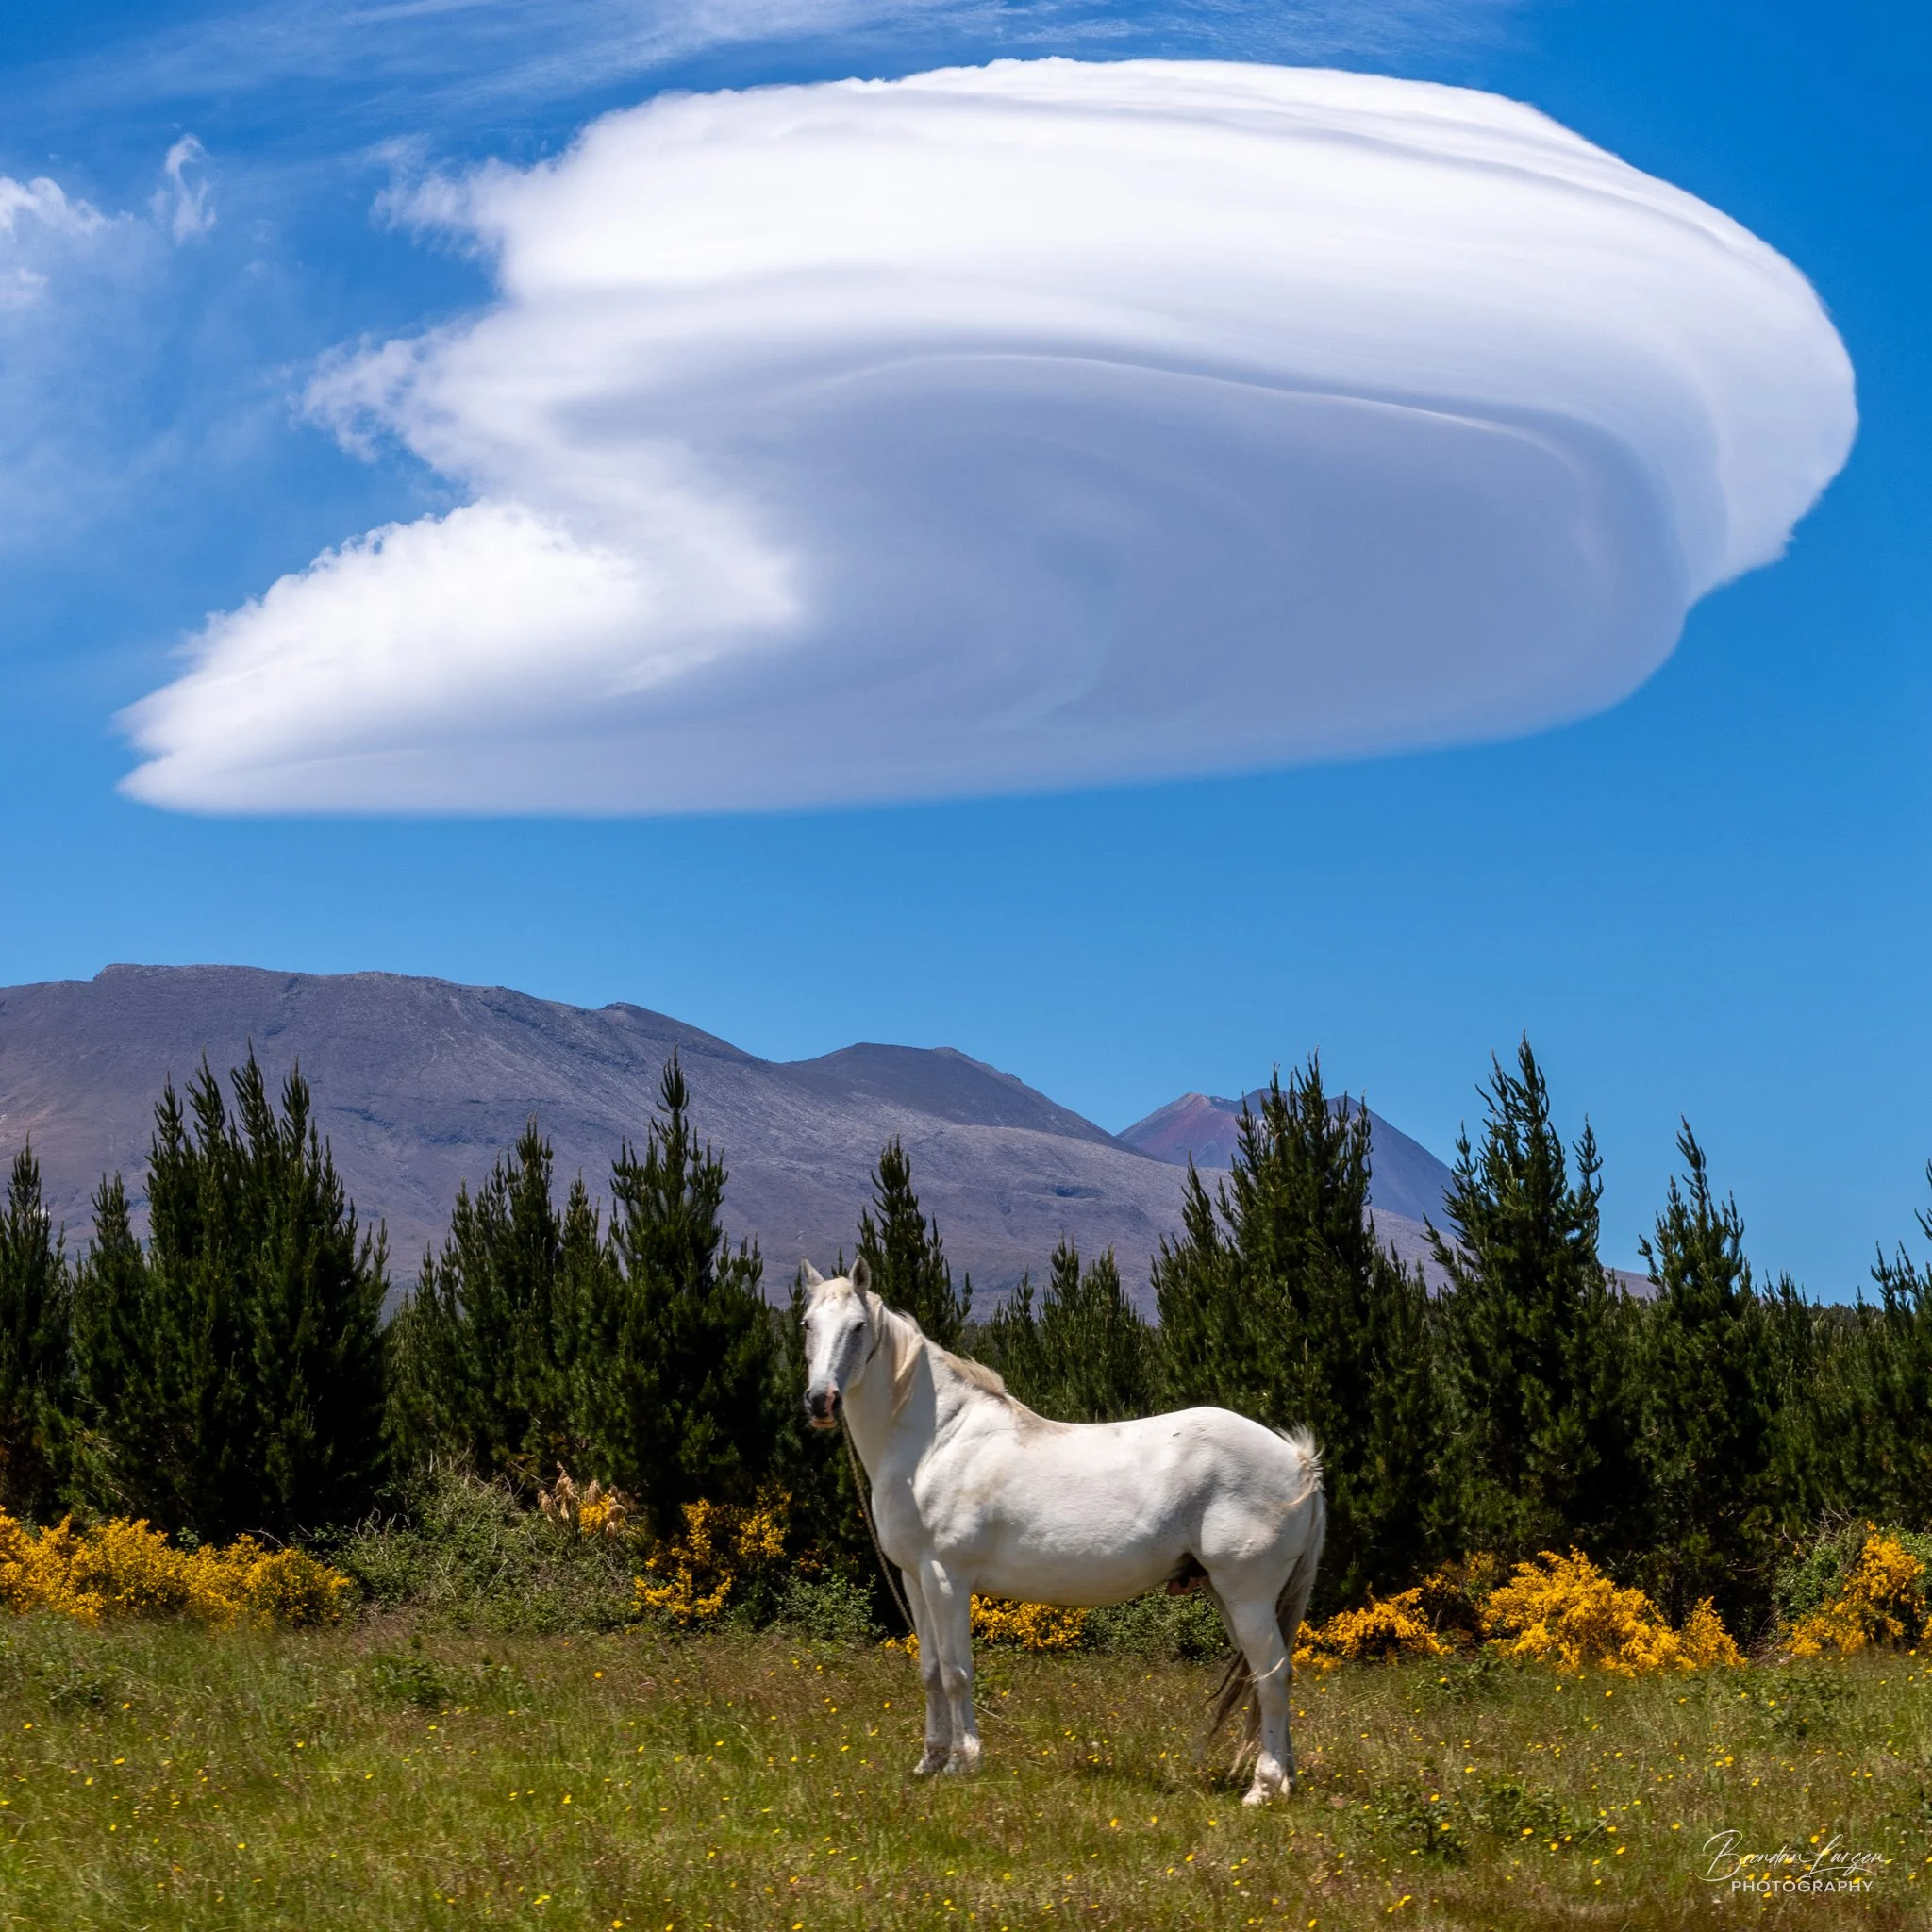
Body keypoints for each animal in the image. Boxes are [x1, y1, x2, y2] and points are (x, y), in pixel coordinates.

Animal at [799, 1258, 1326, 1805]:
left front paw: (963, 1764)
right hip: (1229, 1594)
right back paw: (1284, 1781)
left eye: (859, 1327)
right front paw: (931, 1761)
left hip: (1246, 1593)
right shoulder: (915, 1578)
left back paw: (1262, 1788)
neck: (936, 1441)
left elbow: (957, 1673)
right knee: (1270, 1675)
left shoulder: (947, 1578)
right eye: (807, 1325)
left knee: (1272, 1677)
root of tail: (1299, 1461)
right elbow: (929, 1672)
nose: (821, 1401)